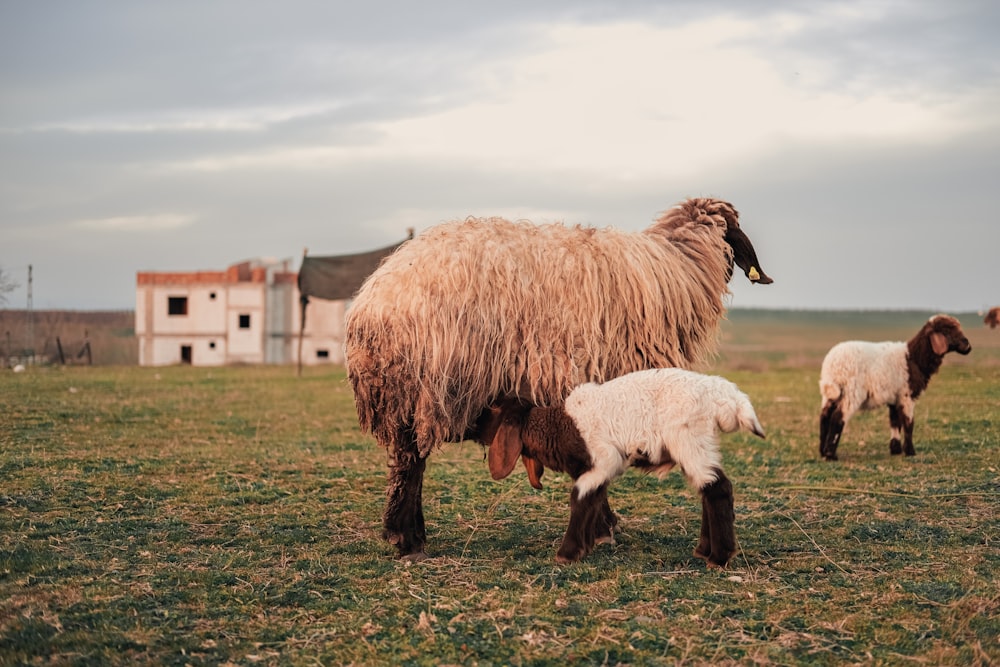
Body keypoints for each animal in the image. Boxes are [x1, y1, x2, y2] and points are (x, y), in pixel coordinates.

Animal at [476, 368, 764, 568]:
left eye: (494, 407)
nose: (472, 426)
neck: (559, 425)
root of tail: (728, 395)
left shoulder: (604, 459)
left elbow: (581, 498)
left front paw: (568, 552)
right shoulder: (593, 469)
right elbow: (595, 497)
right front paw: (592, 541)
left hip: (690, 440)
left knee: (718, 489)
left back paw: (719, 557)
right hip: (696, 445)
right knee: (708, 489)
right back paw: (705, 550)